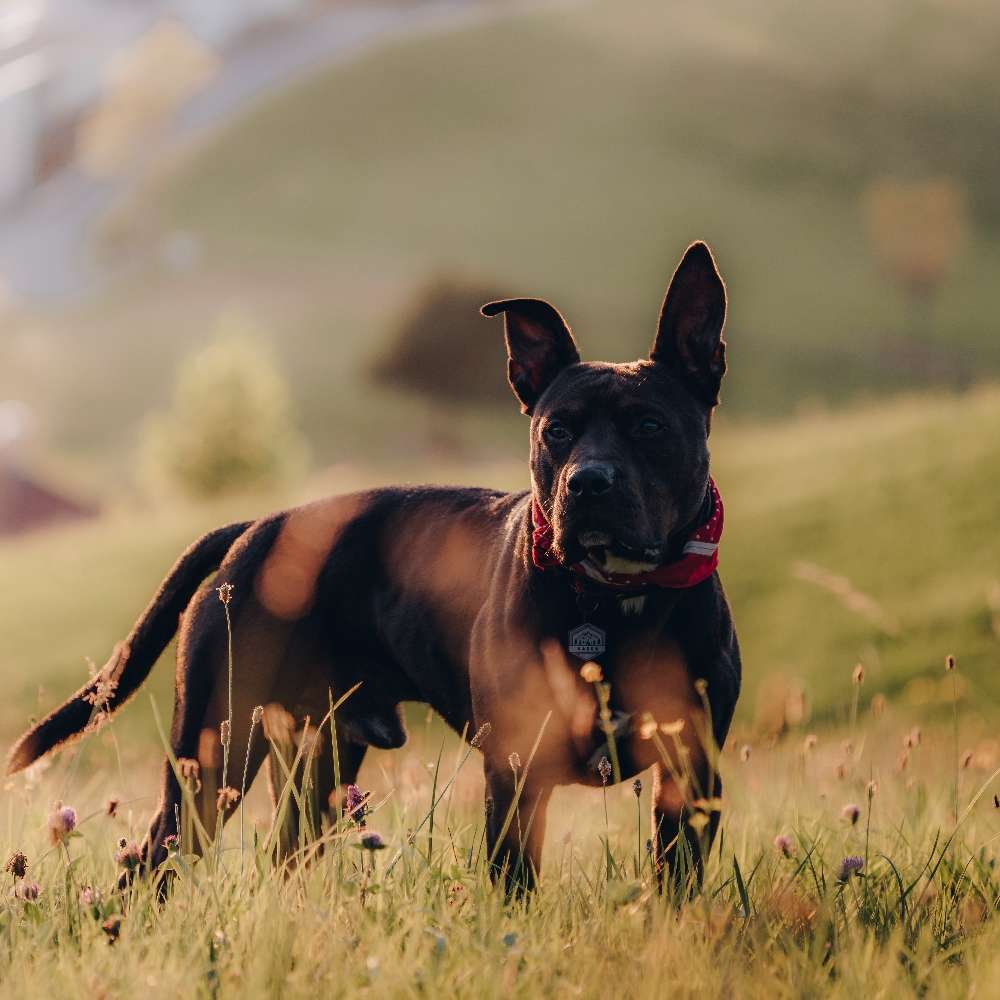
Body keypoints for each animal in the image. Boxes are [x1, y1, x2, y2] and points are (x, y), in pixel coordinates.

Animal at [7, 240, 740, 892]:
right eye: (556, 429)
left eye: (649, 426)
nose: (587, 484)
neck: (610, 599)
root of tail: (256, 526)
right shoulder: (515, 773)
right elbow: (516, 887)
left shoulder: (691, 775)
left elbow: (674, 887)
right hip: (214, 757)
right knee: (149, 863)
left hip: (321, 763)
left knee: (282, 858)